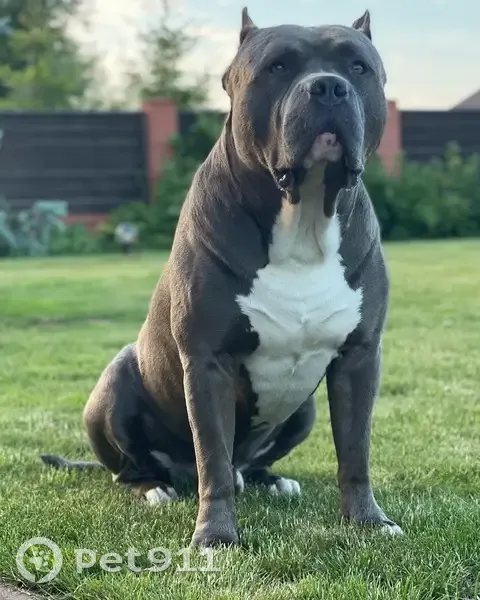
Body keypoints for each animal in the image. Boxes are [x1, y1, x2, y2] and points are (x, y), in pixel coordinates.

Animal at [42, 7, 403, 547]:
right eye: (277, 67)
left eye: (357, 67)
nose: (328, 87)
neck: (303, 219)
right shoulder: (208, 362)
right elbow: (213, 459)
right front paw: (215, 537)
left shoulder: (358, 358)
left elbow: (355, 451)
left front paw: (369, 521)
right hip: (115, 383)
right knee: (139, 468)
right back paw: (155, 487)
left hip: (304, 411)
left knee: (246, 463)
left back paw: (270, 480)